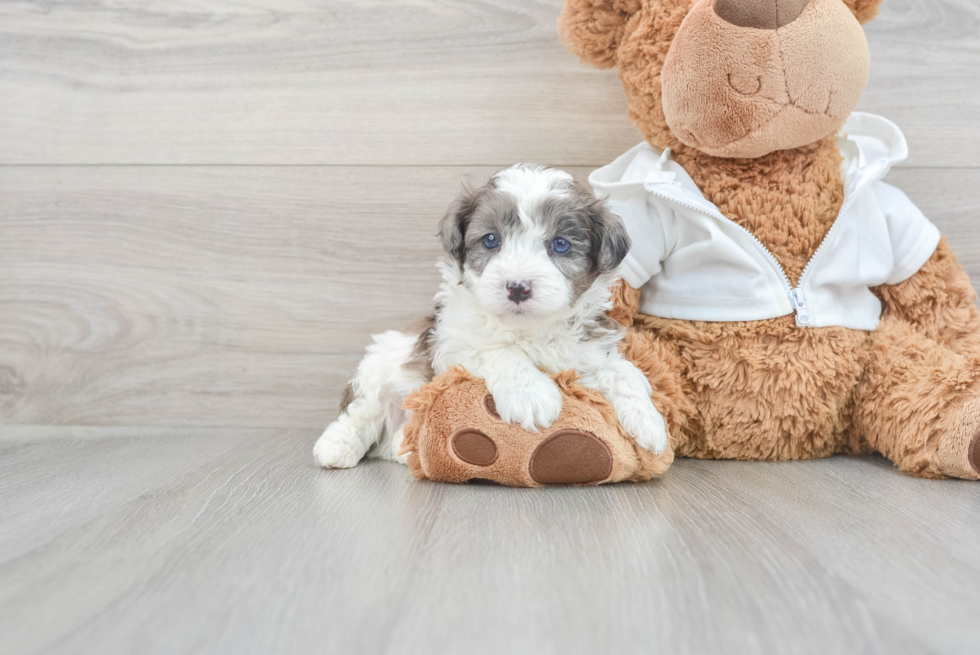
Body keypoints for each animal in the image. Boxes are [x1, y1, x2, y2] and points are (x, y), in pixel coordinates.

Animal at [314, 165, 668, 472]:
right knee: (363, 410)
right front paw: (530, 394)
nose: (518, 287)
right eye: (490, 240)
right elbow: (499, 351)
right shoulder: (452, 347)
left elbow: (624, 372)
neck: (527, 328)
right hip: (380, 363)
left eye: (560, 245)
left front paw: (649, 422)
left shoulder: (586, 355)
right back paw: (337, 446)